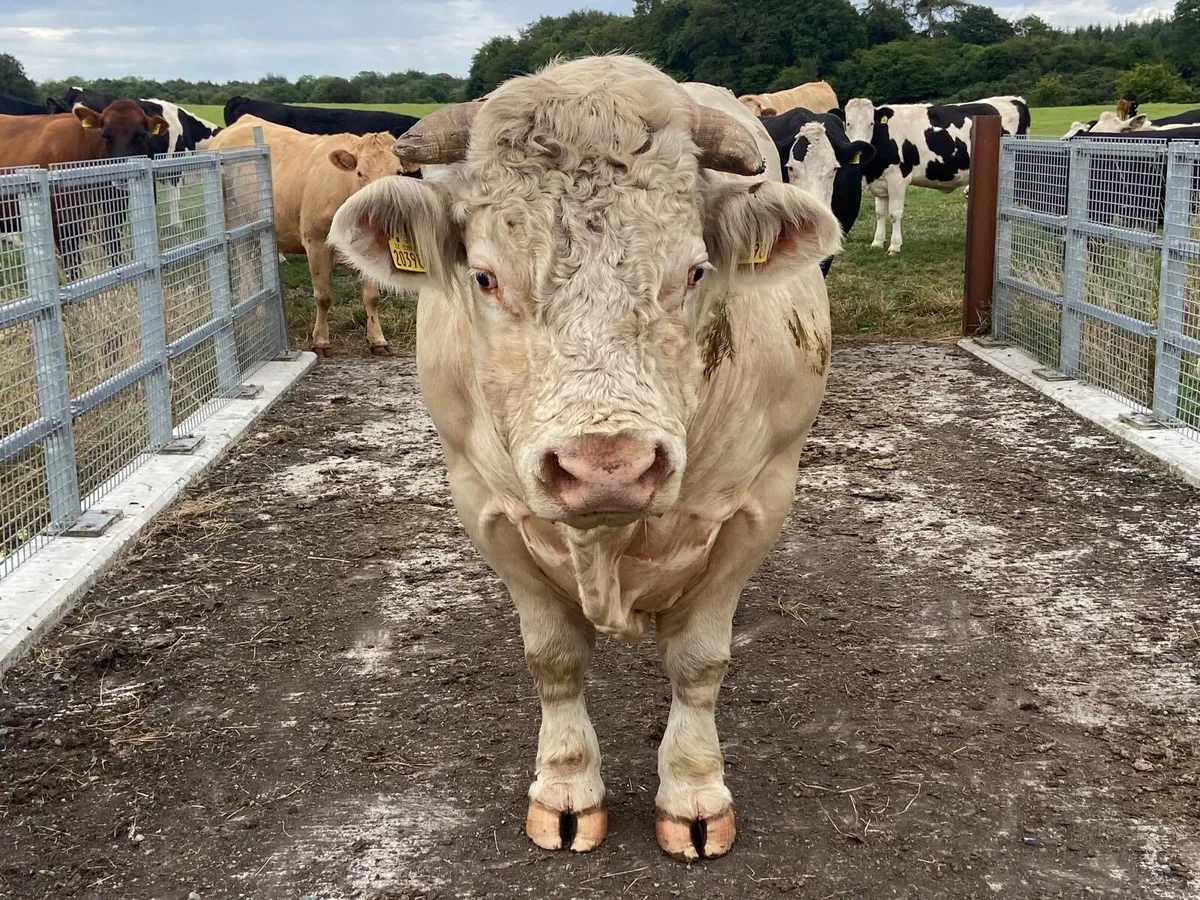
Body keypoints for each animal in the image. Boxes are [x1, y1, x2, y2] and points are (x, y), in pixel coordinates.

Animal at [0, 102, 169, 276]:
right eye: (105, 136)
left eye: (141, 135)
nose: (122, 176)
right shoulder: (62, 227)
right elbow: (74, 271)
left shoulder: (113, 219)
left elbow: (115, 256)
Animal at [209, 116, 418, 355]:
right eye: (359, 173)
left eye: (399, 172)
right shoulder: (316, 241)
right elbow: (323, 296)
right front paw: (321, 341)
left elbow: (372, 295)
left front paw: (377, 340)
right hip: (239, 226)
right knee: (248, 269)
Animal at [327, 54, 840, 862]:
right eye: (484, 275)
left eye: (695, 271)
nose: (607, 466)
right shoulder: (486, 507)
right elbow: (555, 660)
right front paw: (566, 789)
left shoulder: (758, 504)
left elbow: (699, 662)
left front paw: (693, 796)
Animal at [845, 96, 1030, 254]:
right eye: (848, 124)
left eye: (871, 123)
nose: (860, 147)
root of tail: (1014, 100)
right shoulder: (880, 180)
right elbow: (880, 214)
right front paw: (877, 242)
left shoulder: (898, 178)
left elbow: (894, 213)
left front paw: (894, 246)